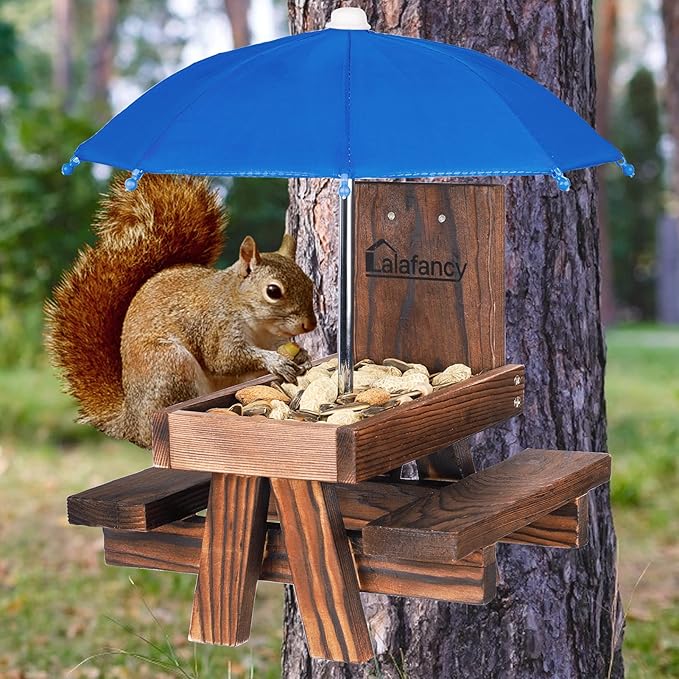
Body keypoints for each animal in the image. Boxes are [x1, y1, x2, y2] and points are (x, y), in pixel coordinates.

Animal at [45, 174, 317, 449]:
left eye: (309, 282)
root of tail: (132, 424)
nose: (310, 325)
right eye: (273, 291)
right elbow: (224, 359)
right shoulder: (216, 328)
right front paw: (275, 361)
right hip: (171, 366)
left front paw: (303, 355)